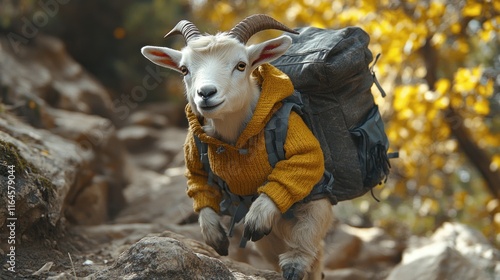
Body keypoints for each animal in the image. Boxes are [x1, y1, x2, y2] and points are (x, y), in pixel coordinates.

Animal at [143, 14, 334, 278]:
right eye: (184, 69)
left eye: (241, 65)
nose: (206, 93)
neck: (236, 138)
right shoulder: (194, 150)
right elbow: (197, 180)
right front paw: (214, 235)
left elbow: (305, 162)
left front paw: (257, 216)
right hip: (268, 240)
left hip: (316, 207)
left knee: (311, 248)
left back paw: (295, 263)